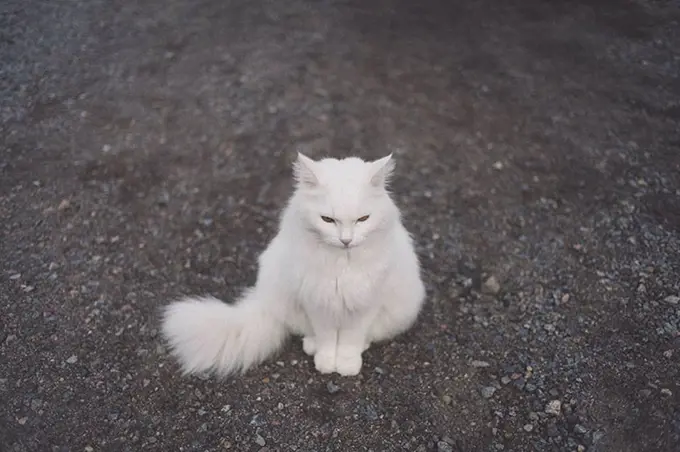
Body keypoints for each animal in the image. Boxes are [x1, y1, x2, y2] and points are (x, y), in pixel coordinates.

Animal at [161, 154, 424, 376]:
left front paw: (347, 366)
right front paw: (326, 363)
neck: (341, 266)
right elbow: (327, 338)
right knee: (308, 333)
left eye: (363, 219)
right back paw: (312, 346)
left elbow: (350, 339)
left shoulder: (365, 305)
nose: (346, 240)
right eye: (327, 220)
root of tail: (263, 300)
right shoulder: (318, 304)